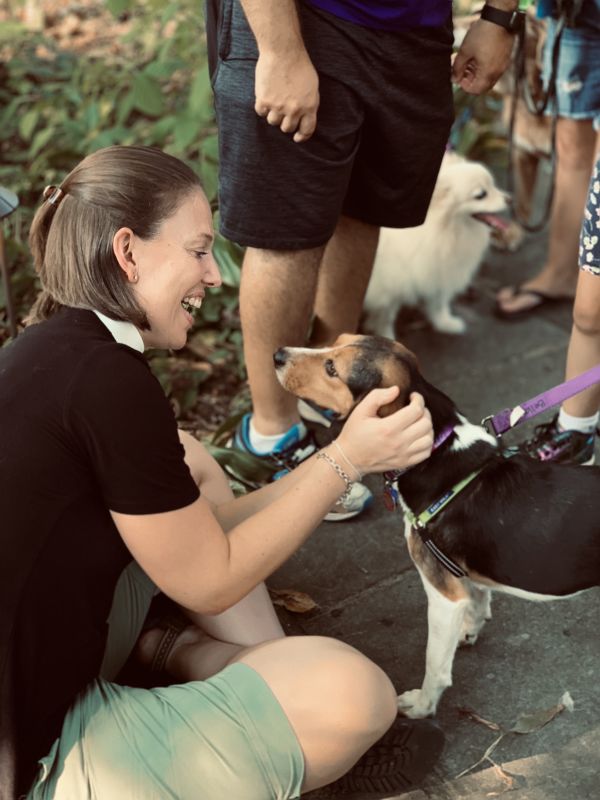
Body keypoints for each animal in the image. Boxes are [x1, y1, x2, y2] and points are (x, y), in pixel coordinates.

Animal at [274, 334, 600, 716]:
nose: (277, 355)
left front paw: (421, 706)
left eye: (332, 369)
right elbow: (478, 602)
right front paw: (469, 632)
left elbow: (435, 663)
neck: (437, 450)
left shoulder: (443, 596)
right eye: (336, 341)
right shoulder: (461, 582)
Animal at [364, 155, 508, 336]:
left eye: (493, 185)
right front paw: (385, 337)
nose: (510, 199)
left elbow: (439, 302)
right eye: (481, 194)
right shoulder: (388, 286)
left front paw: (445, 323)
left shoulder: (438, 269)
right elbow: (385, 317)